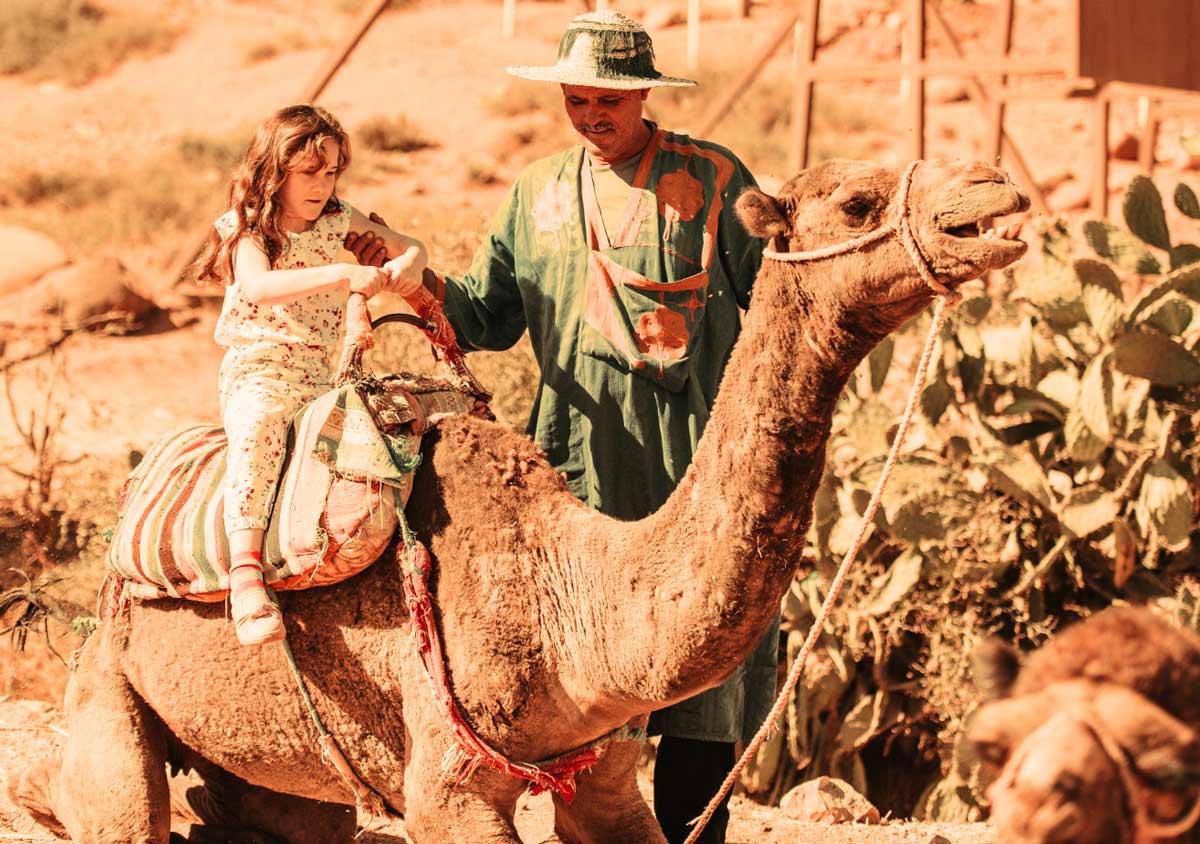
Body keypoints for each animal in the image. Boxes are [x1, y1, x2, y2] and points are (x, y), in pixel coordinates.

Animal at [9, 157, 1027, 840]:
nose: (999, 195)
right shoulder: (449, 787)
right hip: (108, 694)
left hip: (270, 768)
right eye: (858, 200)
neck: (570, 594)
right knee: (121, 806)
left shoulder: (607, 769)